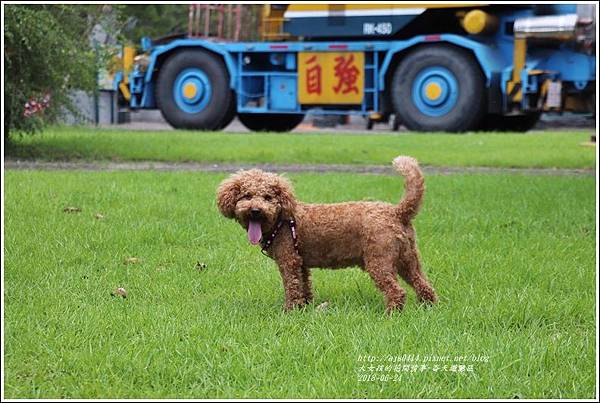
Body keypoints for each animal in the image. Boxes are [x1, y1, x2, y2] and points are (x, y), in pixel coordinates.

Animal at [216, 156, 436, 314]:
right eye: (246, 196)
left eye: (268, 197)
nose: (255, 210)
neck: (282, 220)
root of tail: (397, 212)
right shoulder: (301, 263)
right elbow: (304, 286)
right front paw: (304, 307)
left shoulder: (289, 261)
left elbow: (292, 287)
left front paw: (289, 311)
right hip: (407, 259)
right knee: (423, 285)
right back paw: (428, 308)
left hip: (379, 261)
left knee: (396, 291)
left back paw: (391, 314)